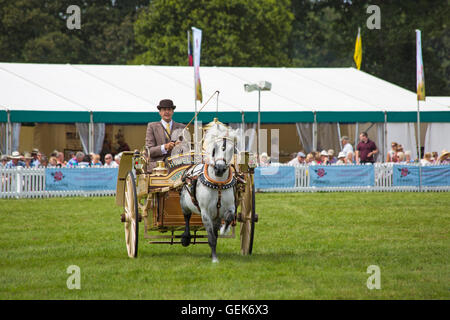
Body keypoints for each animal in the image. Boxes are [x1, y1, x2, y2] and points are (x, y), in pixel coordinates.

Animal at [179, 123, 237, 262]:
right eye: (214, 149)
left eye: (232, 149)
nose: (219, 169)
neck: (219, 184)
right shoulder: (205, 212)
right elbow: (211, 237)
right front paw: (215, 259)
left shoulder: (230, 206)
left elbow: (229, 217)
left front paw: (224, 229)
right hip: (184, 204)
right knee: (187, 218)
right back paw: (186, 237)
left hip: (216, 215)